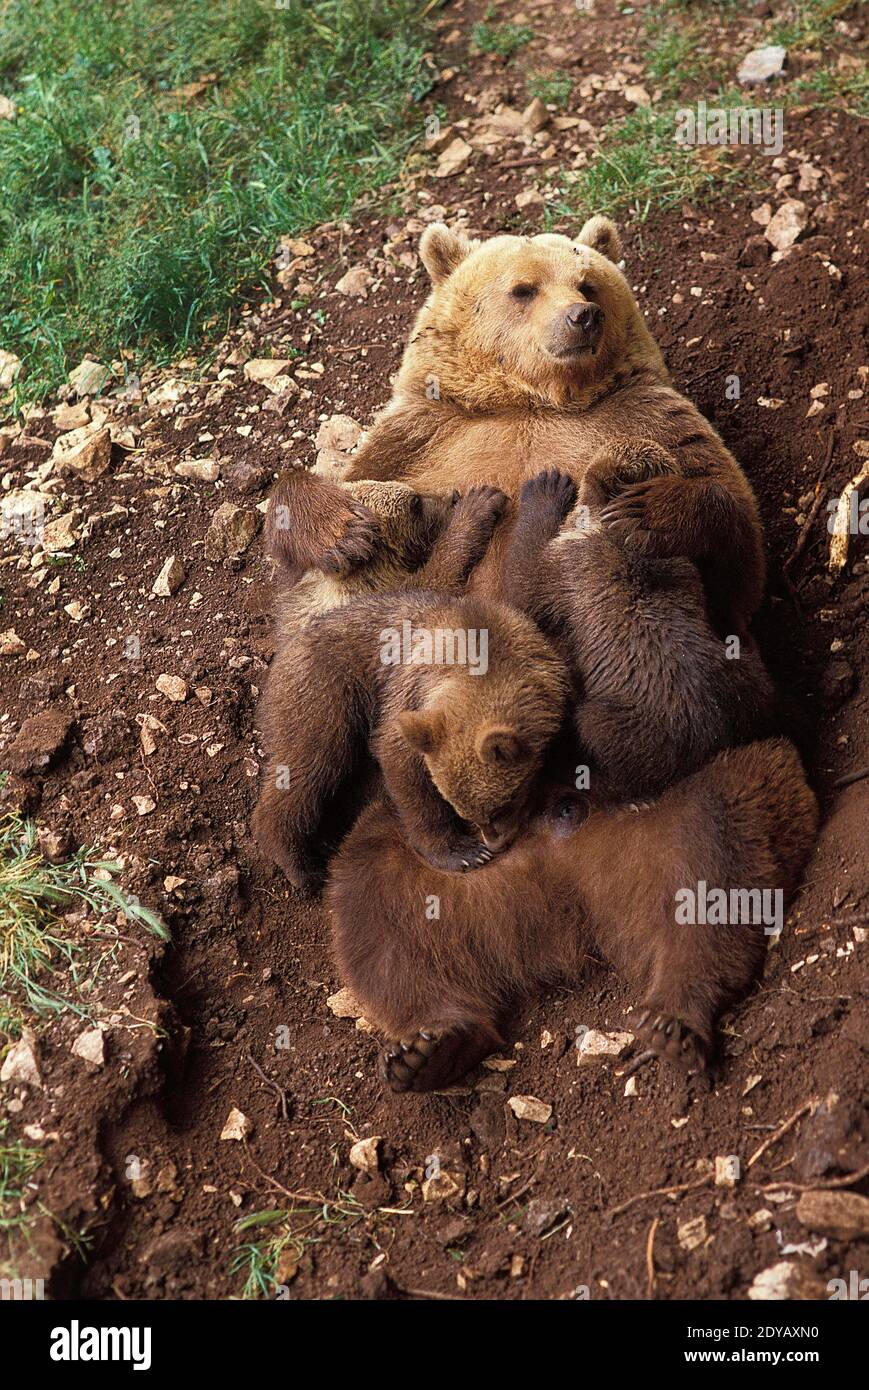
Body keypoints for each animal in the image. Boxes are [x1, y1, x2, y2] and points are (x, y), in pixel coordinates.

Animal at [253, 485, 569, 888]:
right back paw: (297, 861)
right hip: (322, 692)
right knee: (307, 765)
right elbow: (400, 760)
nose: (495, 843)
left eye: (508, 802)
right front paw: (459, 851)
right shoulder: (408, 689)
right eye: (416, 504)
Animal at [265, 215, 766, 635]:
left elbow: (738, 543)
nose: (583, 316)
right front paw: (340, 531)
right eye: (524, 289)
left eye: (588, 284)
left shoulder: (645, 413)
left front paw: (646, 509)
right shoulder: (422, 434)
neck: (534, 399)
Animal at [326, 737, 818, 1092]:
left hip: (688, 817)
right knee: (376, 911)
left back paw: (672, 1023)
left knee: (710, 867)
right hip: (449, 889)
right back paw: (427, 1049)